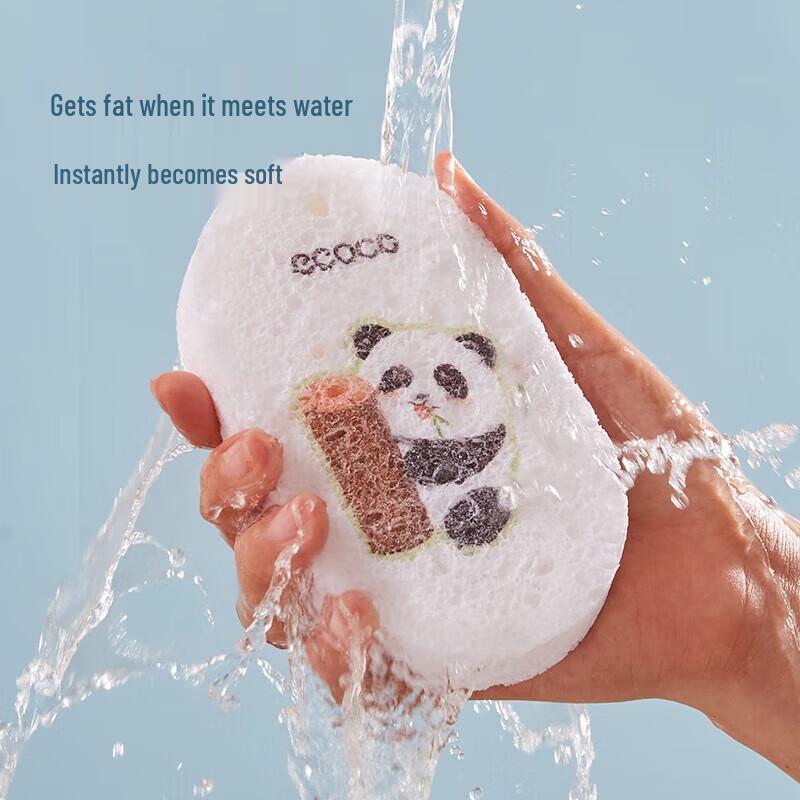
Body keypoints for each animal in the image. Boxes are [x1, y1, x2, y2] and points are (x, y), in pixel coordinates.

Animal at [352, 322, 516, 550]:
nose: (421, 396)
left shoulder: (487, 431)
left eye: (446, 375)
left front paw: (422, 463)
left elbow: (471, 451)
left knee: (481, 504)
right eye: (397, 376)